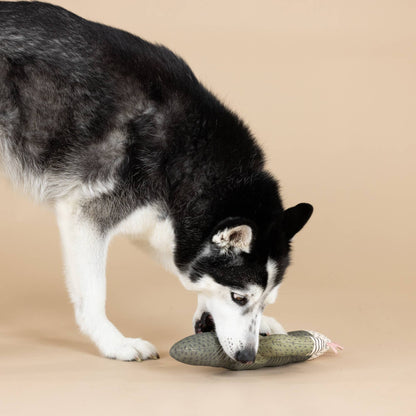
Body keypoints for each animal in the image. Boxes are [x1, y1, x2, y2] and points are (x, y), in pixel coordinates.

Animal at [0, 1, 314, 362]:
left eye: (265, 300)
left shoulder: (160, 226)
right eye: (239, 297)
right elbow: (93, 295)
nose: (248, 357)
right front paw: (115, 343)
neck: (187, 157)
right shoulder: (85, 215)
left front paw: (265, 324)